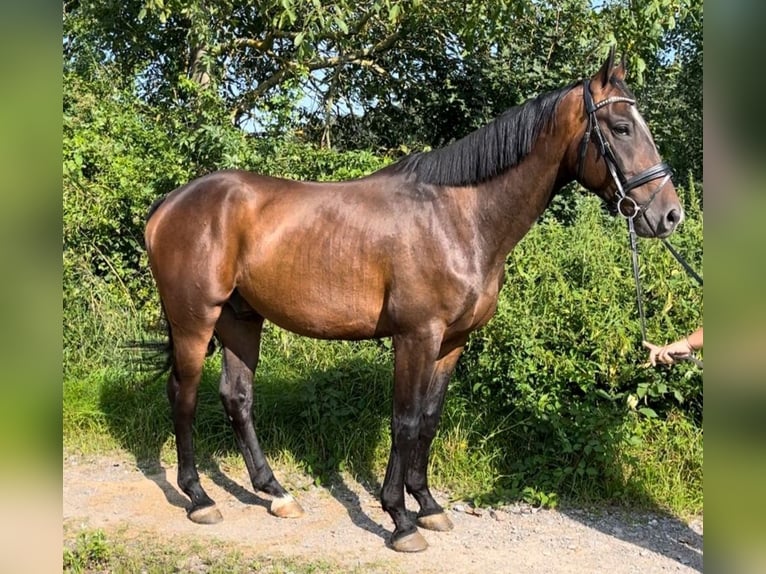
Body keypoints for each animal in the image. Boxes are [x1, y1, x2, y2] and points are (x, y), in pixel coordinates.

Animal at [144, 50, 684, 552]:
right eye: (621, 127)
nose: (670, 215)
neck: (458, 218)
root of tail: (170, 204)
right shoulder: (416, 336)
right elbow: (403, 421)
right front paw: (399, 519)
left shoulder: (452, 342)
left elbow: (428, 420)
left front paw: (427, 505)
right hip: (196, 322)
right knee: (183, 395)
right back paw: (198, 498)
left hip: (241, 318)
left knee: (237, 397)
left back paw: (275, 493)